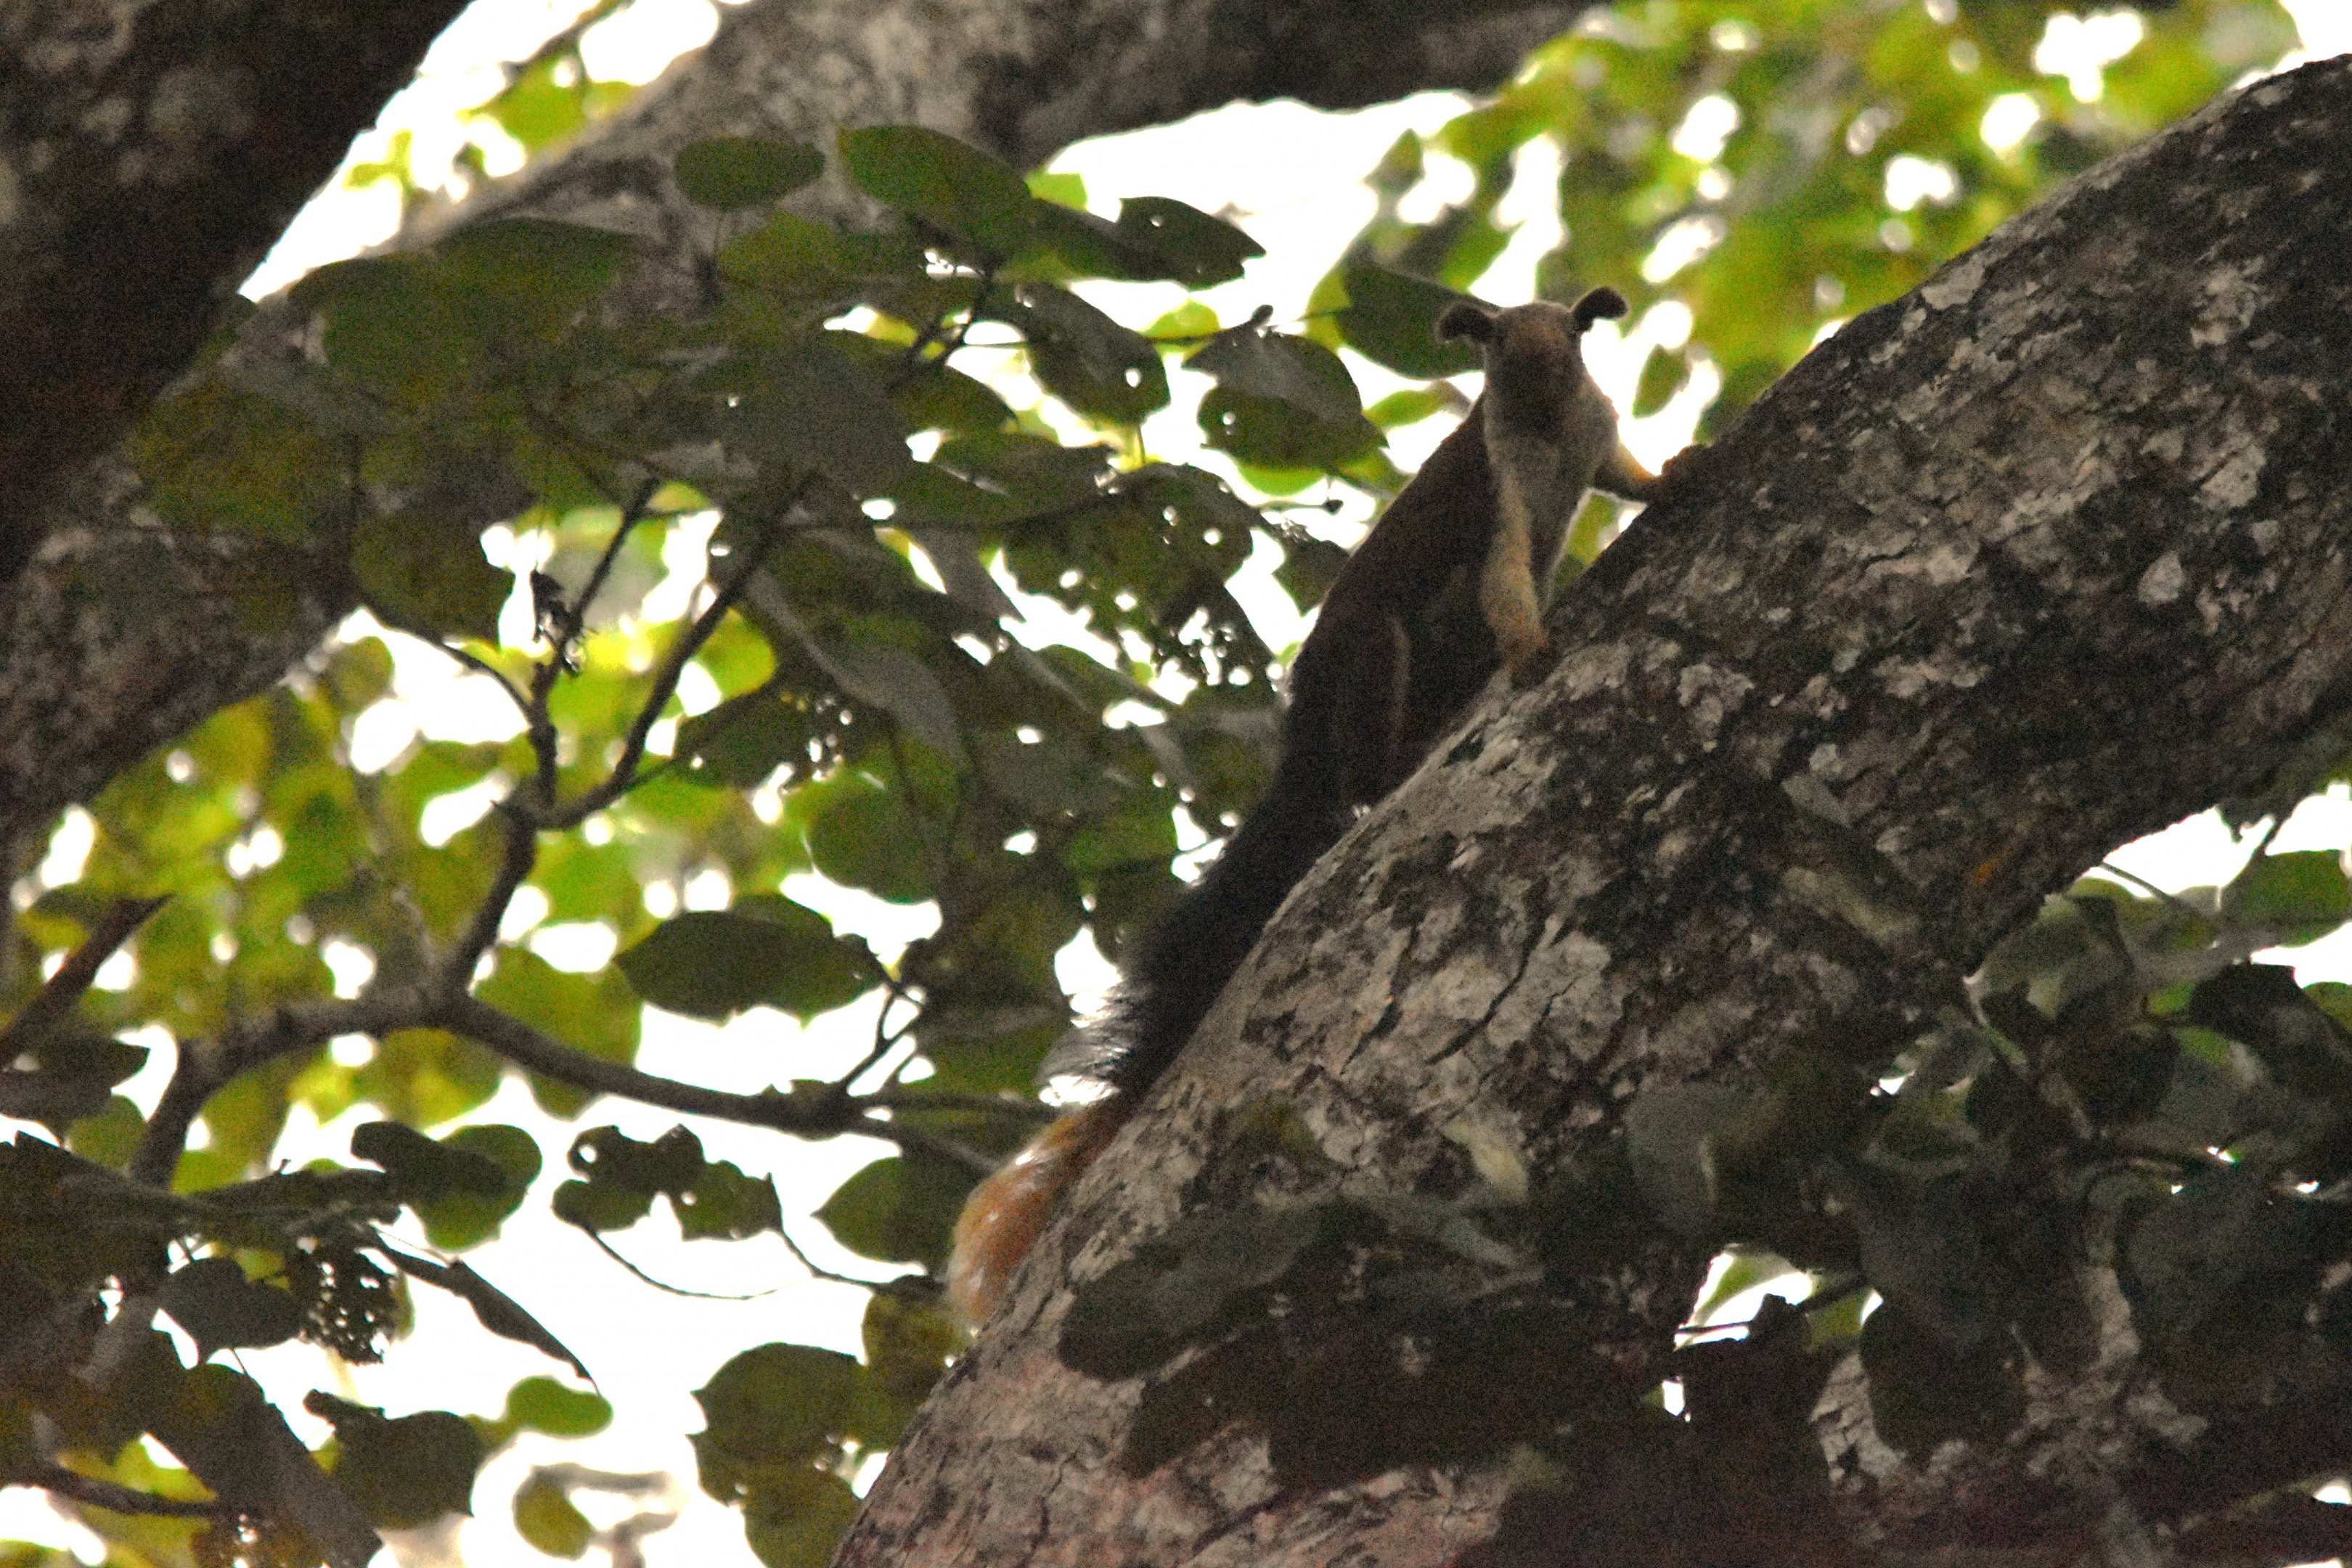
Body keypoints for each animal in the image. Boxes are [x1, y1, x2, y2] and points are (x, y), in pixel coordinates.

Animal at [946, 288, 1667, 1328]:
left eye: (1565, 337)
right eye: (1495, 341)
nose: (1531, 368)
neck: (1544, 432)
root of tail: (1303, 743)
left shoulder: (1594, 433)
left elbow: (1624, 475)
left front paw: (1676, 475)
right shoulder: (1491, 496)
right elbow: (1504, 583)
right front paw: (1534, 647)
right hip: (1371, 658)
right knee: (1373, 713)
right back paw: (1388, 770)